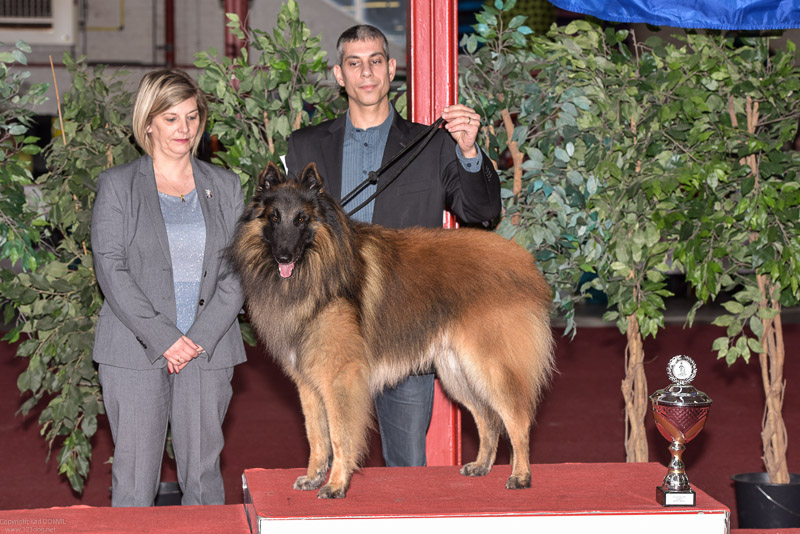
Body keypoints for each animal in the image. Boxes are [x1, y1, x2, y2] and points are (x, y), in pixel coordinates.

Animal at [228, 162, 552, 498]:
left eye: (302, 219)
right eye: (274, 217)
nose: (284, 256)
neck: (317, 268)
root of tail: (525, 263)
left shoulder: (341, 378)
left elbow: (340, 436)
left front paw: (336, 484)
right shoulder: (309, 383)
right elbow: (316, 436)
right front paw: (314, 476)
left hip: (491, 368)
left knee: (517, 420)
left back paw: (521, 475)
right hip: (459, 372)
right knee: (488, 419)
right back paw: (482, 466)